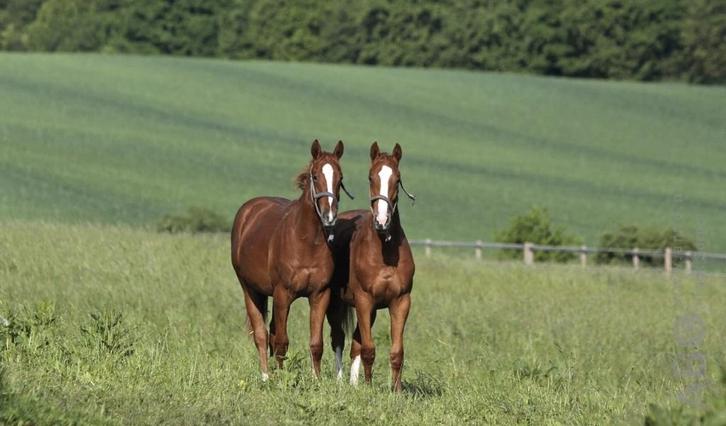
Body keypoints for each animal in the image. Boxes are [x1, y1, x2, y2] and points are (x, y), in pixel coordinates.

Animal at [231, 139, 353, 380]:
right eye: (315, 176)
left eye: (340, 178)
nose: (329, 216)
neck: (306, 241)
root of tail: (248, 211)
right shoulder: (282, 294)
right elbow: (281, 342)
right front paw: (281, 380)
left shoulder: (319, 295)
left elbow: (316, 343)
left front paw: (316, 380)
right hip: (250, 290)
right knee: (262, 335)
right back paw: (266, 376)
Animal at [327, 142, 416, 391]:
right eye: (370, 177)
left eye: (397, 178)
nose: (382, 221)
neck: (384, 252)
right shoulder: (364, 300)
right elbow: (368, 349)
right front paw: (368, 387)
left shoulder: (400, 302)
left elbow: (396, 352)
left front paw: (396, 391)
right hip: (335, 302)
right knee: (339, 339)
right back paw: (342, 382)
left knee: (355, 343)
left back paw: (353, 383)